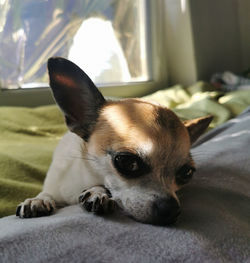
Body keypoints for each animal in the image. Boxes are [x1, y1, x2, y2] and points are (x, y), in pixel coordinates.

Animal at [15, 57, 212, 225]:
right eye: (128, 162)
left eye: (186, 173)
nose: (171, 210)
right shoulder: (55, 185)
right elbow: (46, 193)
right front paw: (38, 200)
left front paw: (97, 192)